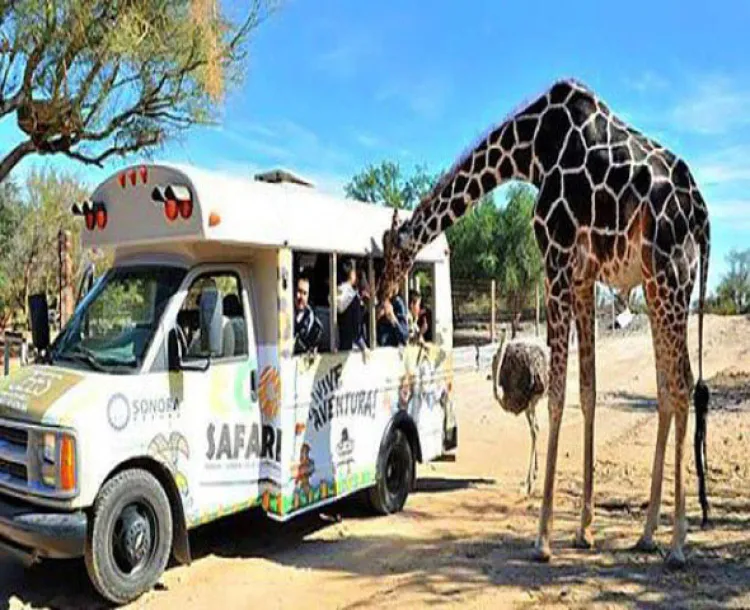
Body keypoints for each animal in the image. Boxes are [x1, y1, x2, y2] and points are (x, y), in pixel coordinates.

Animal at [378, 77, 712, 564]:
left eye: (391, 256)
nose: (380, 296)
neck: (528, 149)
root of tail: (704, 219)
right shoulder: (584, 276)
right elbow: (588, 391)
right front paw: (584, 531)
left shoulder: (555, 259)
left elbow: (556, 395)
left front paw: (543, 538)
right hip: (657, 285)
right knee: (667, 386)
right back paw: (648, 534)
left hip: (670, 277)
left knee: (683, 383)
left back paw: (678, 545)